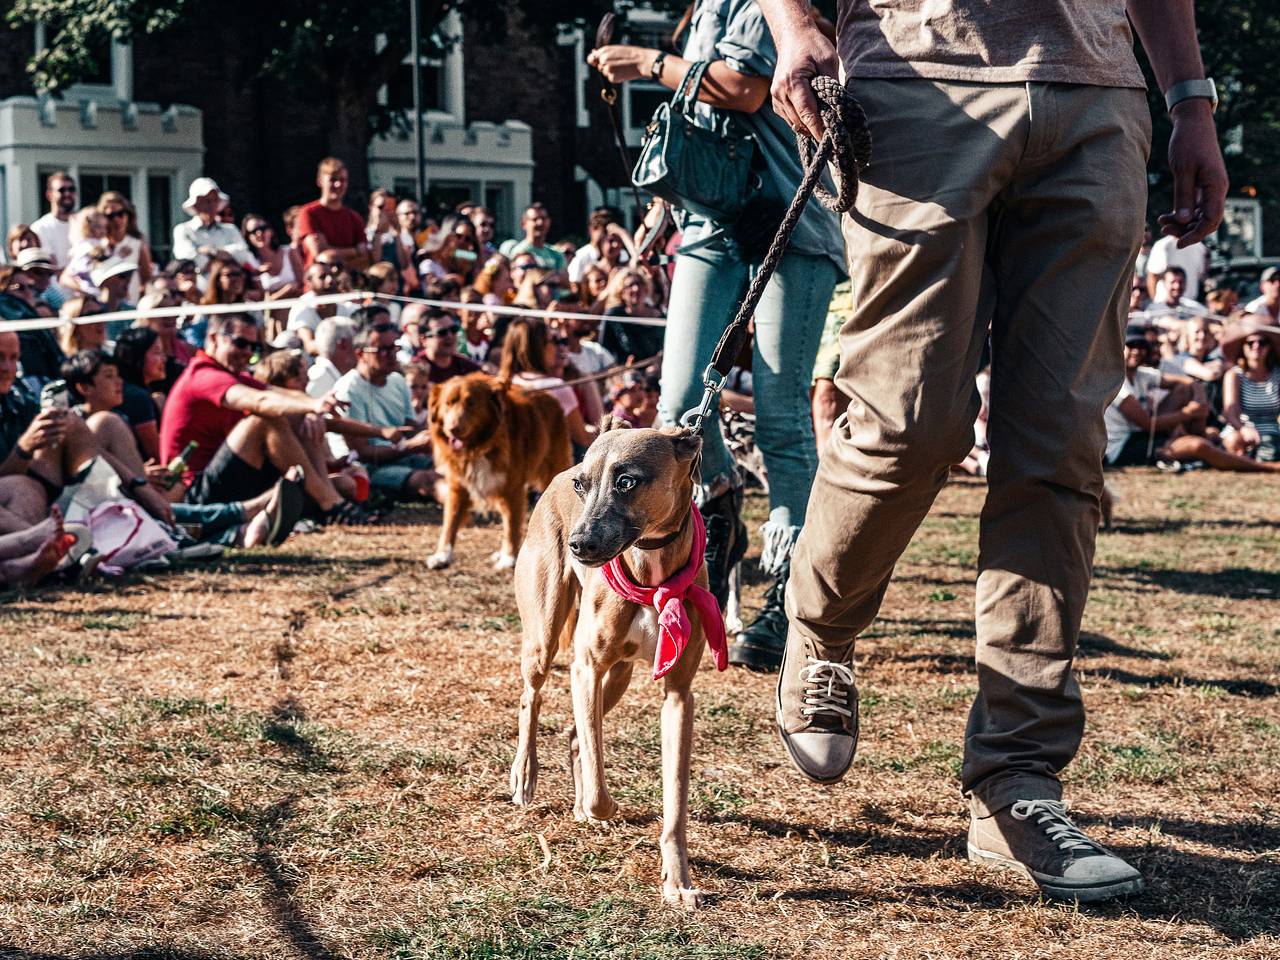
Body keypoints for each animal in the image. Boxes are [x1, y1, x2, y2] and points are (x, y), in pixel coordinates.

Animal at [430, 373, 570, 570]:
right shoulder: (458, 487)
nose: (453, 429)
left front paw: (509, 557)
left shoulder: (512, 488)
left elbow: (511, 524)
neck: (478, 447)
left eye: (471, 403)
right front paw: (442, 555)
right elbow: (450, 522)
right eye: (448, 403)